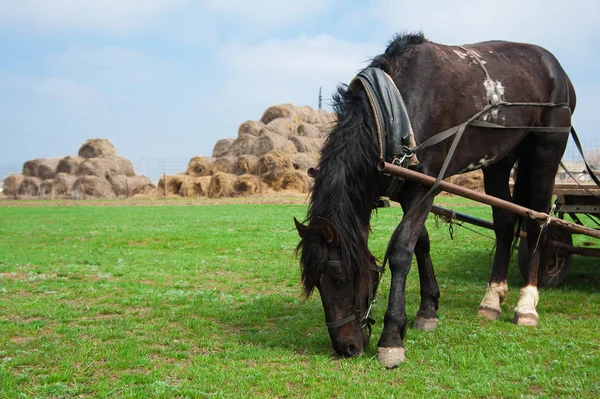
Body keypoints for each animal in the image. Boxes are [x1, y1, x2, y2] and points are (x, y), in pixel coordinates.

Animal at [292, 32, 576, 370]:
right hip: (499, 160)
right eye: (317, 282)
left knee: (537, 221)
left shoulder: (425, 186)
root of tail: (557, 69)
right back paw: (492, 299)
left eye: (340, 276)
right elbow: (421, 243)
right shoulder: (407, 190)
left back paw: (526, 304)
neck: (392, 109)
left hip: (545, 150)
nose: (346, 347)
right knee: (505, 223)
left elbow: (402, 251)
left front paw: (392, 336)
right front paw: (428, 310)